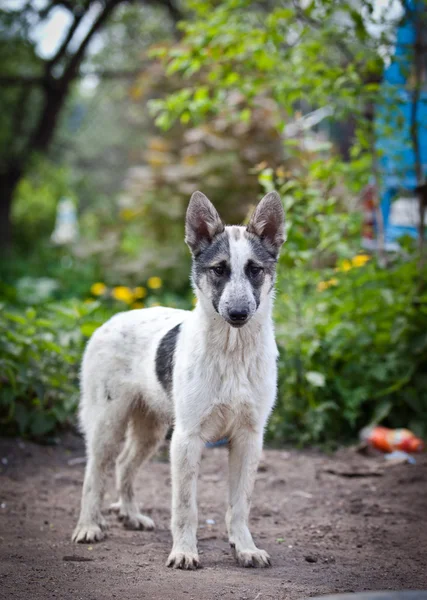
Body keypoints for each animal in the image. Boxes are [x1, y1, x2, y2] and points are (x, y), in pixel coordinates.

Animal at [72, 190, 288, 568]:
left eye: (255, 270)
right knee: (94, 475)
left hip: (151, 430)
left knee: (125, 466)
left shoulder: (248, 439)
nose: (238, 314)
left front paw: (245, 547)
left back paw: (131, 514)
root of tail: (110, 319)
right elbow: (186, 507)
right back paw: (88, 526)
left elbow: (240, 505)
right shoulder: (187, 440)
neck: (232, 353)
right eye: (219, 269)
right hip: (107, 426)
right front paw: (185, 551)